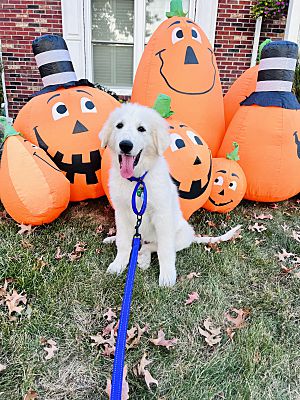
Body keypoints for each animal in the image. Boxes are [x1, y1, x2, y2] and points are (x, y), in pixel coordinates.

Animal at [99, 101, 195, 286]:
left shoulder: (162, 215)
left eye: (141, 129)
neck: (136, 180)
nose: (125, 145)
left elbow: (165, 249)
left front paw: (167, 275)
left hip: (184, 234)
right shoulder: (121, 212)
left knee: (152, 246)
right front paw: (118, 264)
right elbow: (123, 243)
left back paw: (143, 258)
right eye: (119, 125)